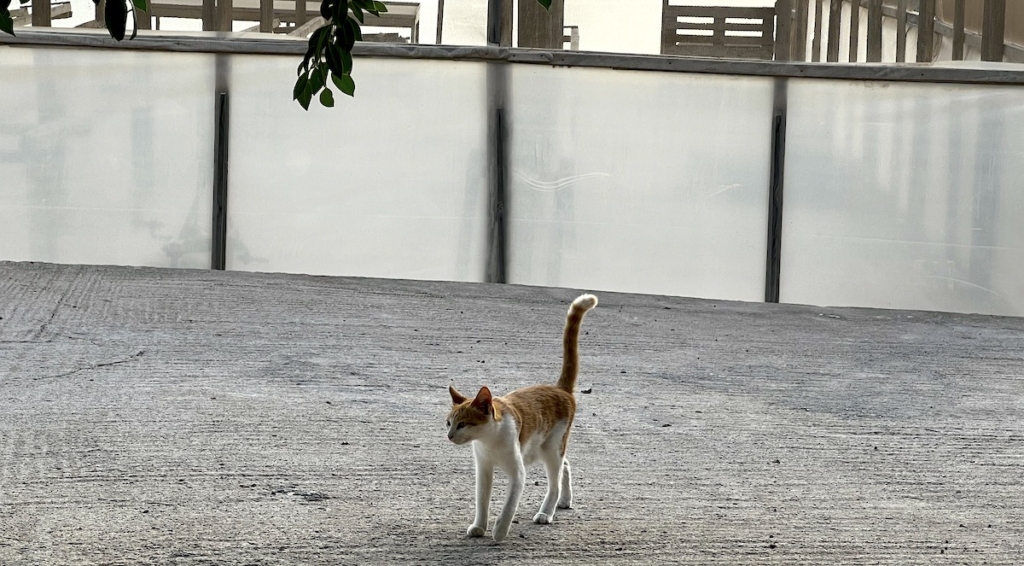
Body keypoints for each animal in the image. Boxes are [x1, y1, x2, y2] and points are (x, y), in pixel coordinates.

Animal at [444, 292, 598, 540]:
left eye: (463, 424)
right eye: (448, 423)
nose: (449, 435)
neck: (489, 441)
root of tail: (560, 389)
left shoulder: (518, 473)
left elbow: (509, 505)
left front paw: (499, 531)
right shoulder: (483, 469)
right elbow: (482, 501)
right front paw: (479, 525)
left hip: (550, 449)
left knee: (554, 482)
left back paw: (547, 511)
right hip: (541, 450)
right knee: (565, 465)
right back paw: (565, 500)